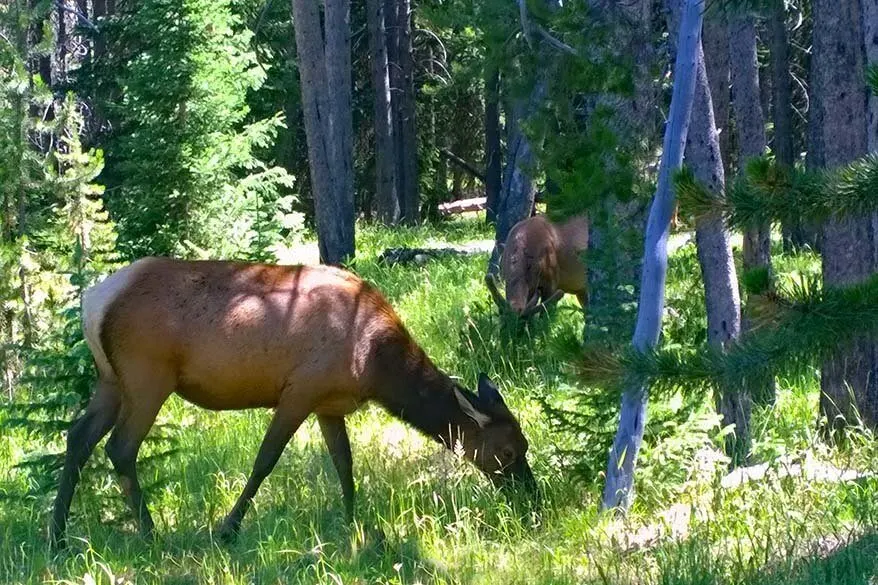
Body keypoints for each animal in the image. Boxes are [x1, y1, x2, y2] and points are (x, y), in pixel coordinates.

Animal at [53, 258, 544, 544]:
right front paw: (227, 529)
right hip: (147, 376)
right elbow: (264, 461)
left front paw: (355, 523)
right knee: (120, 447)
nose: (533, 498)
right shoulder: (300, 390)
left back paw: (56, 536)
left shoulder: (329, 403)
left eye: (525, 446)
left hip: (110, 380)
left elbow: (345, 464)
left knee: (77, 437)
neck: (374, 364)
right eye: (507, 451)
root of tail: (93, 301)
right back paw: (151, 533)